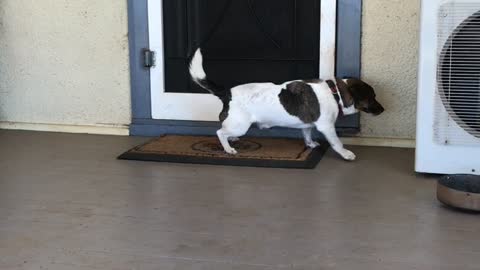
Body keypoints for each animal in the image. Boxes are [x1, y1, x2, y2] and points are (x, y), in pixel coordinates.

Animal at [189, 49, 384, 160]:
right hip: (240, 126)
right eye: (373, 97)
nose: (383, 109)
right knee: (220, 132)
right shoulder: (327, 127)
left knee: (225, 131)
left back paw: (231, 141)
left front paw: (310, 144)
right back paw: (228, 148)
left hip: (236, 126)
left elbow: (307, 134)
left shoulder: (307, 124)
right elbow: (337, 143)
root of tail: (227, 93)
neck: (335, 93)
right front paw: (346, 154)